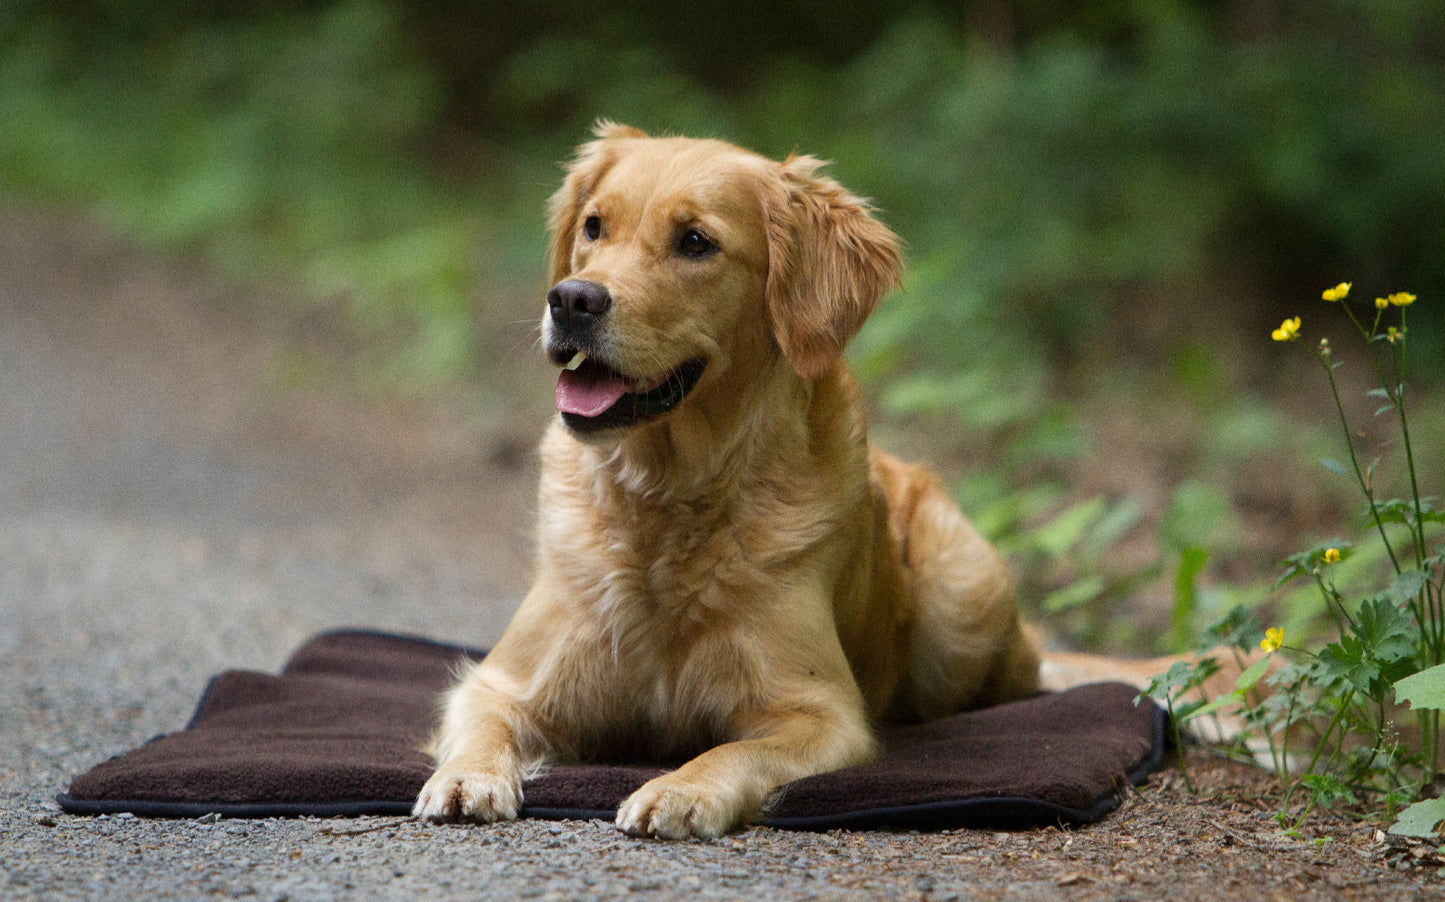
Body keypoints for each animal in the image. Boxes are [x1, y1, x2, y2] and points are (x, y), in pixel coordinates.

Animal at [413, 121, 1046, 838]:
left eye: (695, 242)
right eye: (594, 226)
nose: (572, 299)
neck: (670, 495)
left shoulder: (822, 713)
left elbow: (735, 749)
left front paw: (682, 789)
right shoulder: (501, 684)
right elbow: (485, 726)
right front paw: (466, 777)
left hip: (963, 598)